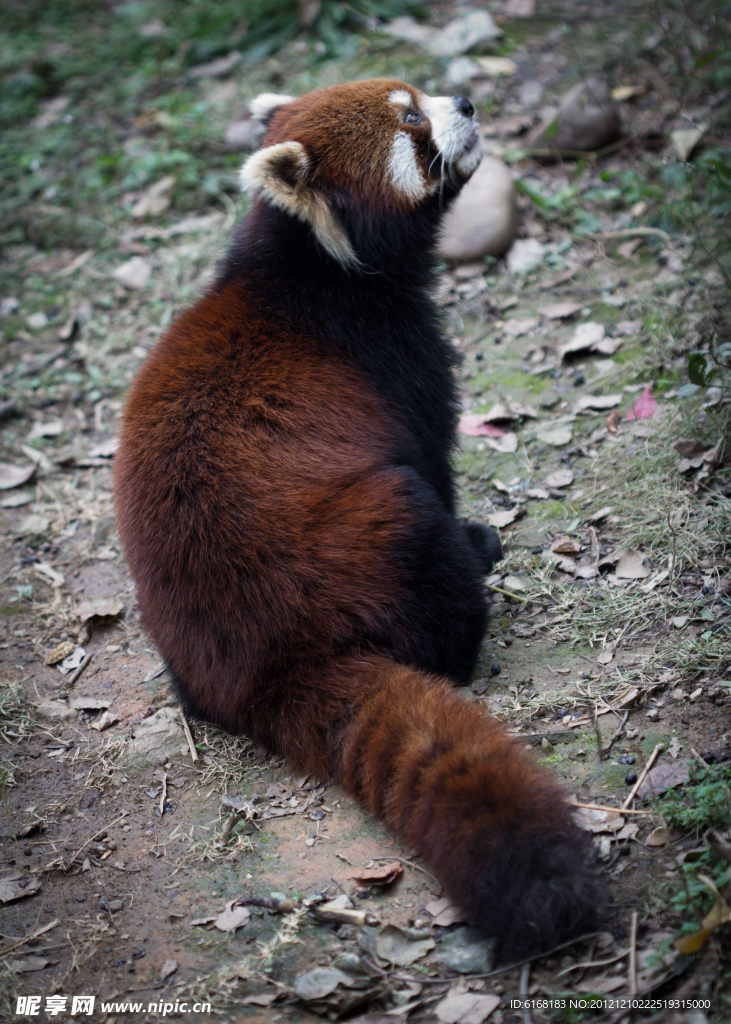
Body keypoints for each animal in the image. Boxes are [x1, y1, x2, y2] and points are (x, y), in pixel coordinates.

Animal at [115, 77, 602, 958]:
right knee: (413, 526)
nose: (466, 100)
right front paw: (480, 538)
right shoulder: (394, 363)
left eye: (419, 93)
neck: (318, 269)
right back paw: (463, 622)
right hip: (363, 543)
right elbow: (433, 457)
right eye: (410, 121)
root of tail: (269, 673)